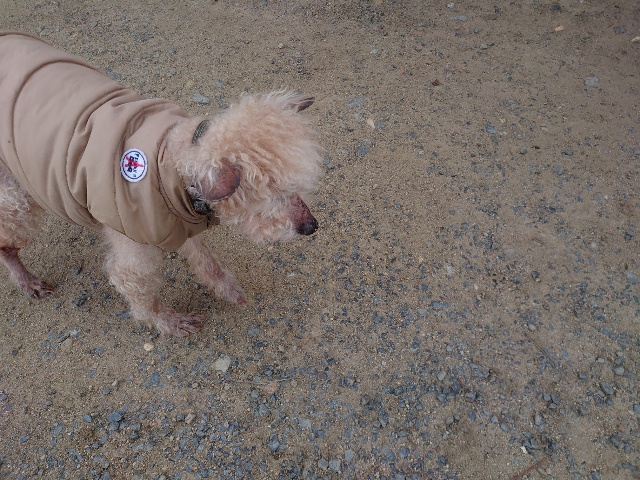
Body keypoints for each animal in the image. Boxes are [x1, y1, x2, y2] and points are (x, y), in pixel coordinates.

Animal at [0, 32, 323, 336]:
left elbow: (206, 260)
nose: (311, 226)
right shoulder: (134, 250)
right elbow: (139, 294)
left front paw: (228, 290)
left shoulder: (178, 223)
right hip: (16, 199)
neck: (172, 164)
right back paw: (28, 281)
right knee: (7, 244)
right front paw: (168, 322)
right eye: (273, 192)